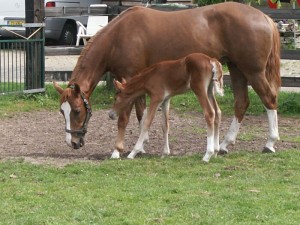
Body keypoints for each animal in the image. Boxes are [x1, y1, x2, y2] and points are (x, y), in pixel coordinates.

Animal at [54, 2, 282, 159]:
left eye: (77, 111)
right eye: (62, 111)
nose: (73, 142)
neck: (118, 36)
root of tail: (265, 18)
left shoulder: (127, 78)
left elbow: (125, 117)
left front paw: (118, 150)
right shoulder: (138, 82)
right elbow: (142, 113)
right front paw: (142, 145)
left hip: (253, 71)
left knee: (269, 99)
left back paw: (270, 143)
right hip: (236, 69)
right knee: (241, 103)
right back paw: (225, 144)